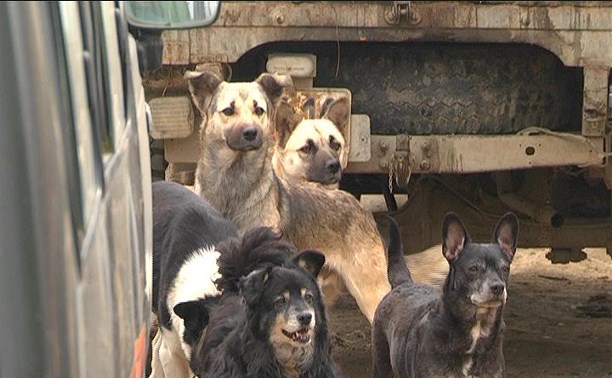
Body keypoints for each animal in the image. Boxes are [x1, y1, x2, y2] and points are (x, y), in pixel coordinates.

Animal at [184, 70, 390, 322]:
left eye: (259, 110)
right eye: (228, 111)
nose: (251, 133)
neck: (233, 189)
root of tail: (356, 203)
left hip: (371, 293)